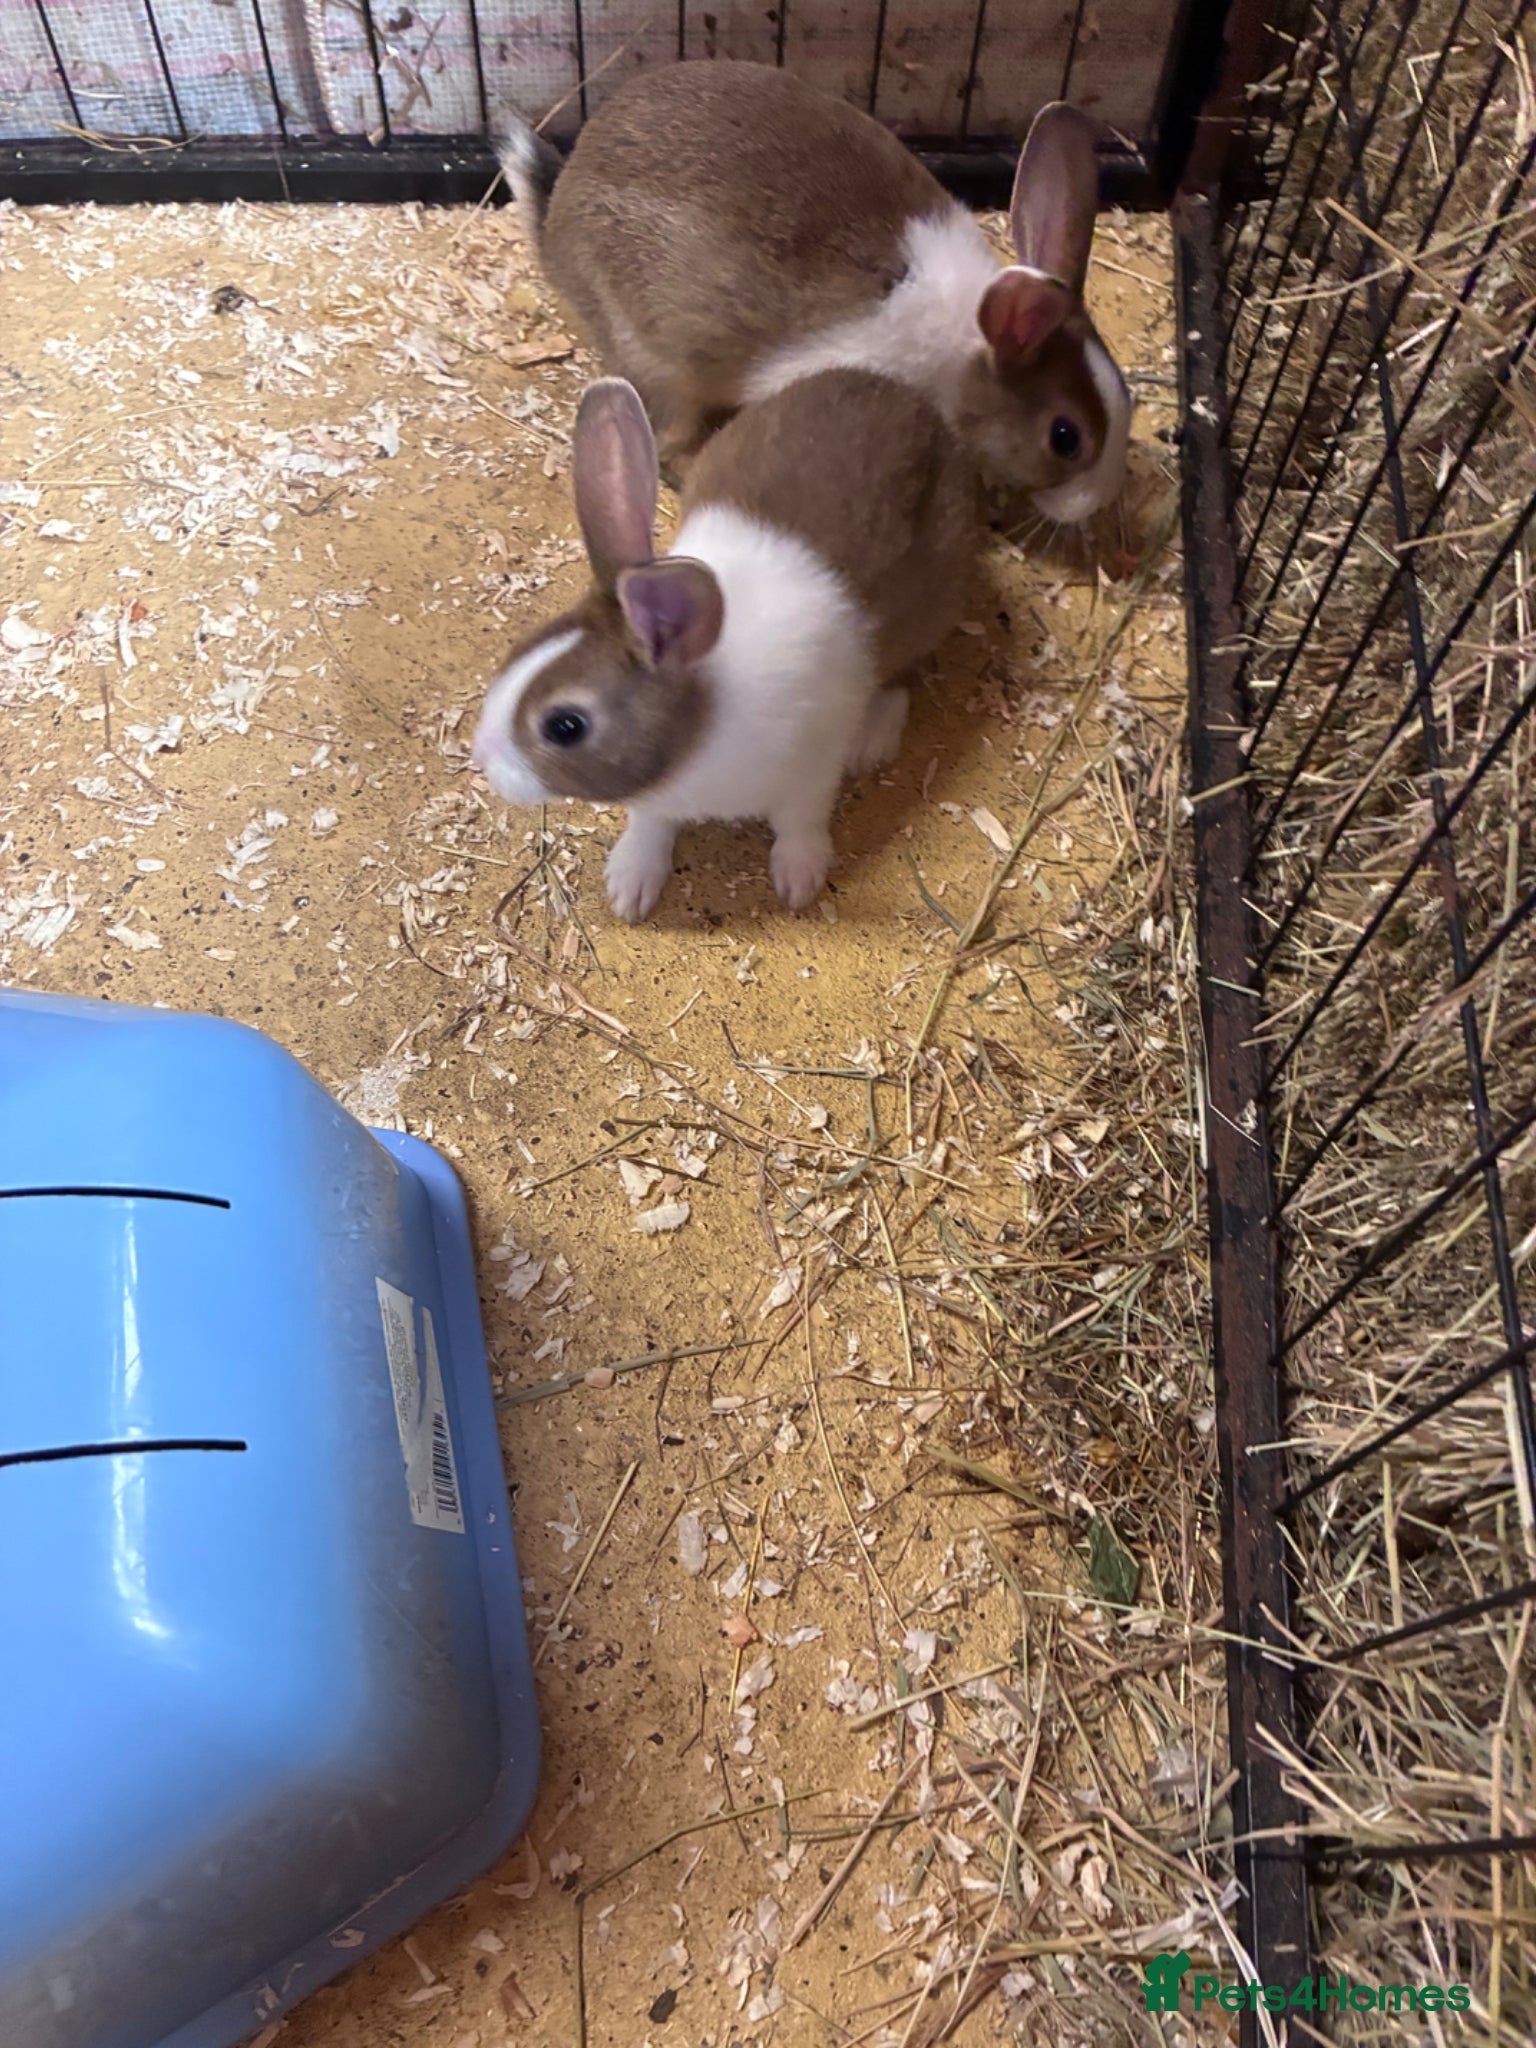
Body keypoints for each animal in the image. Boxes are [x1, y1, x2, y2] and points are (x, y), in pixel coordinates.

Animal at [470, 368, 978, 921]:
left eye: (565, 725)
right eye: (517, 652)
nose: (482, 757)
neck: (700, 724)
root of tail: (906, 395)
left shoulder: (811, 773)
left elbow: (800, 824)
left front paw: (799, 881)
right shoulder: (656, 801)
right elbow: (650, 827)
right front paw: (629, 887)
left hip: (930, 606)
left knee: (903, 673)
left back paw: (873, 741)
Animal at [497, 62, 1130, 521]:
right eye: (1066, 437)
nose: (1094, 504)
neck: (968, 352)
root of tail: (553, 229)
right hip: (663, 365)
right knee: (671, 441)